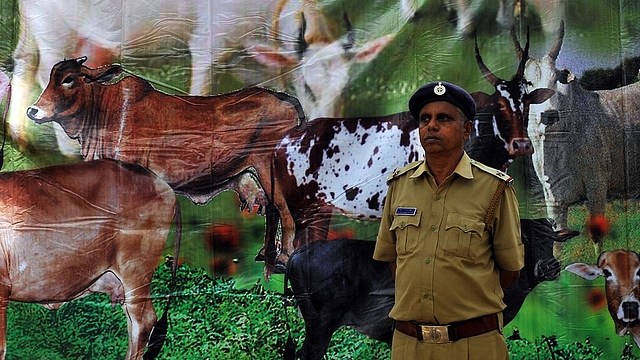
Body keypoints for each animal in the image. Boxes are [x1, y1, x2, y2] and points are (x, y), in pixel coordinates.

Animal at [25, 56, 304, 276]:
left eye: (69, 80)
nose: (32, 111)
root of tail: (287, 99)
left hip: (269, 165)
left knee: (285, 209)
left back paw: (283, 259)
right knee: (272, 208)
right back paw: (266, 254)